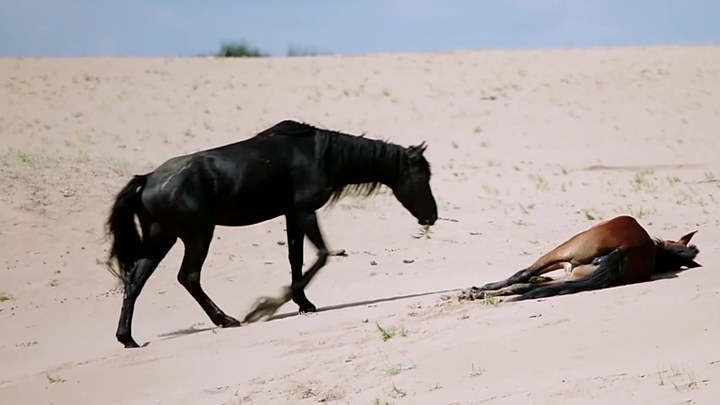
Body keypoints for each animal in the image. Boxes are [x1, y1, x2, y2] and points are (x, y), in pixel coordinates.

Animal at [104, 119, 436, 348]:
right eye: (423, 176)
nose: (432, 216)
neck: (320, 154)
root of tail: (147, 179)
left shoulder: (292, 215)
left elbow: (296, 258)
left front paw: (303, 302)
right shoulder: (304, 211)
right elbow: (322, 255)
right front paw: (269, 305)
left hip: (161, 238)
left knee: (135, 281)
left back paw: (127, 338)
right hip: (197, 235)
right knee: (188, 277)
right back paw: (226, 319)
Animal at [458, 216, 700, 302]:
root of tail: (630, 247)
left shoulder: (564, 259)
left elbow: (525, 275)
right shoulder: (570, 270)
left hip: (565, 249)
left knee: (524, 276)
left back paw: (478, 292)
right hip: (575, 273)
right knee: (531, 287)